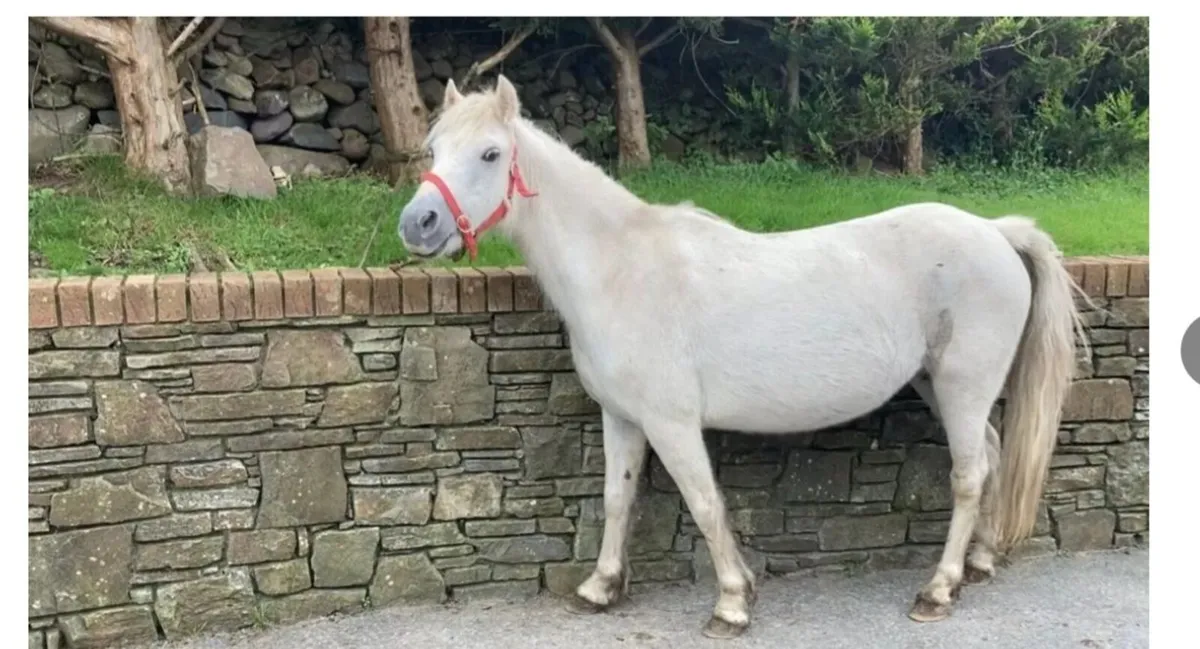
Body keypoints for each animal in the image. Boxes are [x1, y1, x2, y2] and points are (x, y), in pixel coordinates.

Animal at [396, 75, 1085, 639]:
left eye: (490, 154)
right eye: (433, 149)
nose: (418, 224)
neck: (621, 269)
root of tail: (995, 231)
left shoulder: (672, 424)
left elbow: (705, 504)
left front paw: (731, 604)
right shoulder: (623, 418)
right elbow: (618, 498)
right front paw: (601, 588)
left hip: (963, 384)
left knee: (968, 475)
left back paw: (938, 590)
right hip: (936, 385)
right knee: (991, 455)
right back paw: (979, 563)